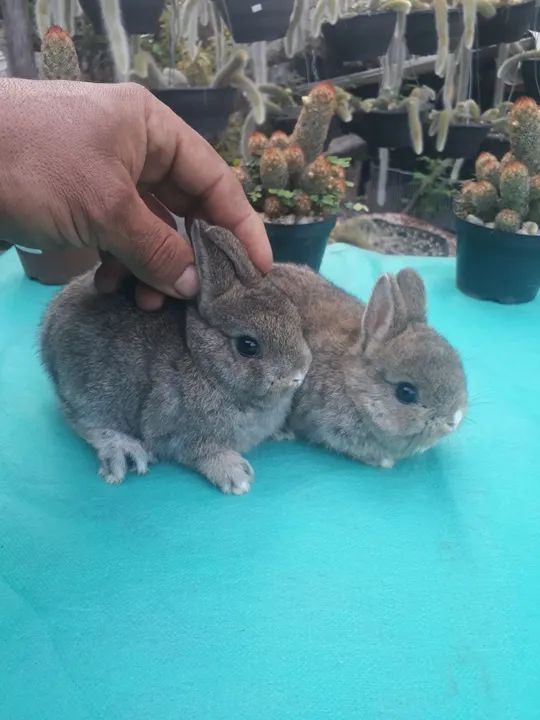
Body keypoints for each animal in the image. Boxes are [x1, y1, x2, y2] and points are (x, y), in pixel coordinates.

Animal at [40, 220, 312, 494]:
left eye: (297, 320)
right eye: (248, 346)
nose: (299, 374)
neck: (204, 365)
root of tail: (47, 333)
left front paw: (282, 432)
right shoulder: (175, 433)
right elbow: (199, 452)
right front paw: (236, 477)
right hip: (89, 393)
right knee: (87, 423)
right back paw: (125, 450)